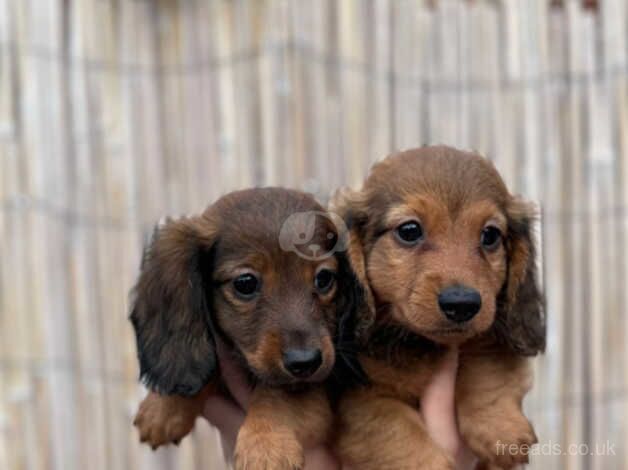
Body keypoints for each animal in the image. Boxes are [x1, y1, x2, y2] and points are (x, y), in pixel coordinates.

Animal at [128, 187, 366, 470]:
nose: (305, 362)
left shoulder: (321, 380)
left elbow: (278, 394)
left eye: (324, 278)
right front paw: (162, 409)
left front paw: (265, 446)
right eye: (245, 283)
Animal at [334, 145, 544, 468]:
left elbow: (487, 363)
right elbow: (397, 433)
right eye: (409, 230)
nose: (461, 304)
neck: (418, 344)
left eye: (490, 235)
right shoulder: (359, 400)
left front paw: (499, 427)